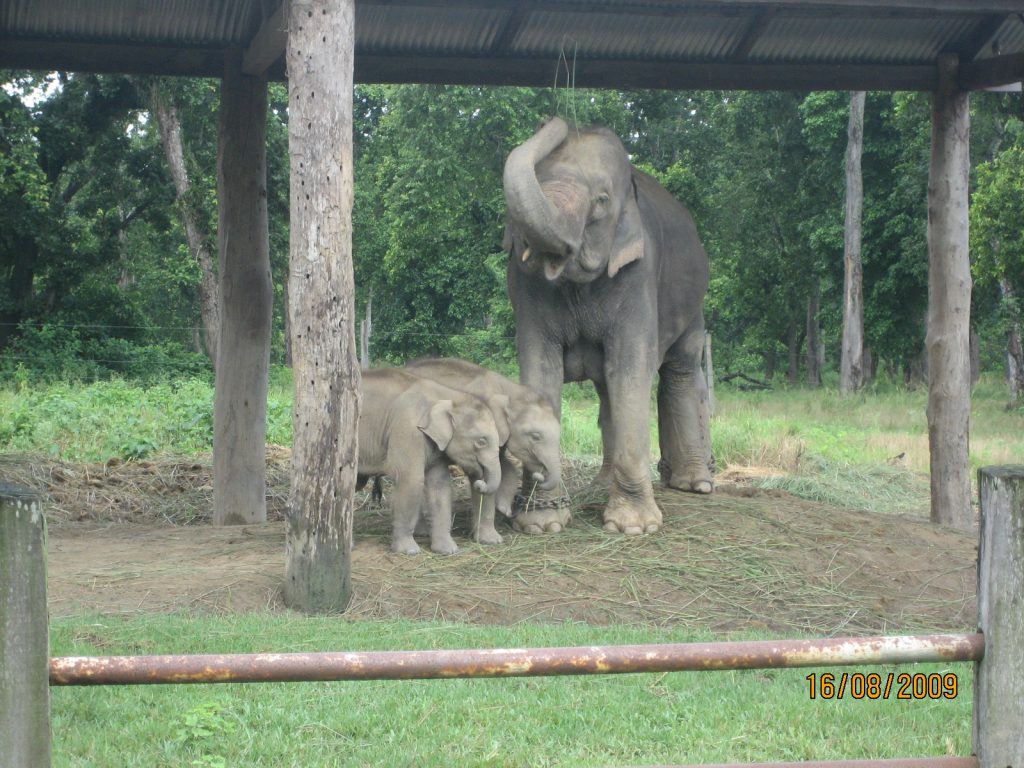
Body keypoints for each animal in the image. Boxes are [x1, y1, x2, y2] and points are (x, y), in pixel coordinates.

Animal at [360, 370, 503, 557]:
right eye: (481, 441)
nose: (480, 482)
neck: (447, 395)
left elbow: (439, 485)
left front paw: (448, 550)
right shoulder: (408, 430)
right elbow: (411, 480)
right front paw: (409, 551)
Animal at [403, 360, 561, 540]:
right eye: (536, 436)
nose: (538, 475)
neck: (510, 390)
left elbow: (503, 465)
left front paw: (503, 508)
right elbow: (486, 470)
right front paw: (491, 539)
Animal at [503, 118, 712, 536]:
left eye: (600, 200)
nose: (559, 120)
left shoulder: (639, 275)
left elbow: (631, 372)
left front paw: (632, 527)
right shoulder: (525, 287)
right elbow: (540, 371)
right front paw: (542, 523)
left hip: (693, 303)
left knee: (681, 370)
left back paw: (693, 483)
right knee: (606, 390)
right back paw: (601, 486)